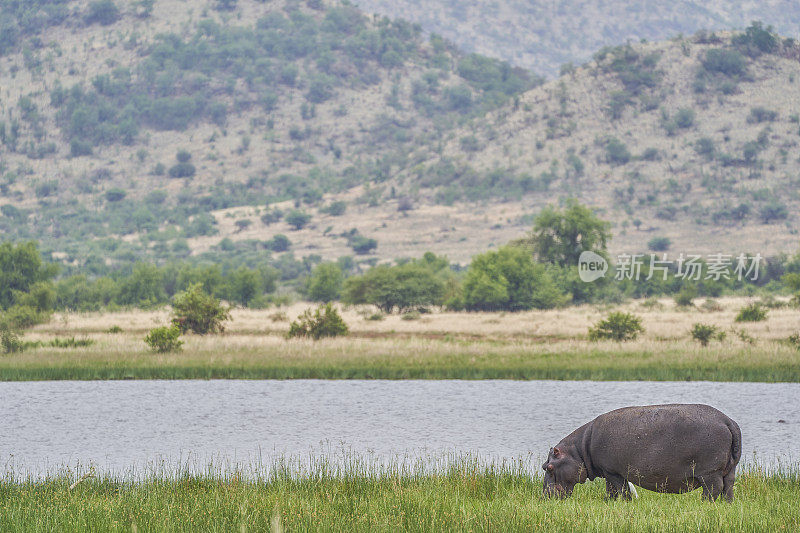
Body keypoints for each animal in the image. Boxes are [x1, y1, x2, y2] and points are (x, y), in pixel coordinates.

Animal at [540, 406, 740, 500]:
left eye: (549, 467)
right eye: (543, 465)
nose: (544, 497)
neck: (579, 451)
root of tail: (727, 420)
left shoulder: (612, 472)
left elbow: (619, 490)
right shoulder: (612, 472)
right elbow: (616, 491)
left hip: (709, 472)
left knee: (713, 489)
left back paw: (705, 503)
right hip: (729, 469)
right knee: (728, 487)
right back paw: (726, 504)